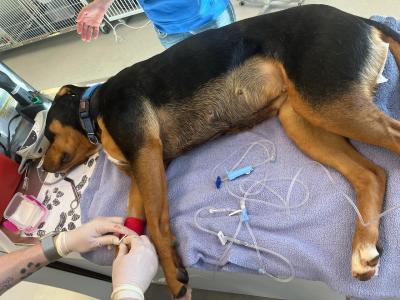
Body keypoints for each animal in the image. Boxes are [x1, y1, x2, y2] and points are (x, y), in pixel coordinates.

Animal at [41, 4, 400, 298]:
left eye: (46, 134)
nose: (41, 167)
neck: (94, 108)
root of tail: (358, 19)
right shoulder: (141, 170)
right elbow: (131, 229)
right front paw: (131, 260)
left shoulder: (147, 152)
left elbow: (157, 225)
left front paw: (173, 276)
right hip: (302, 119)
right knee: (372, 174)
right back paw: (363, 251)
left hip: (325, 103)